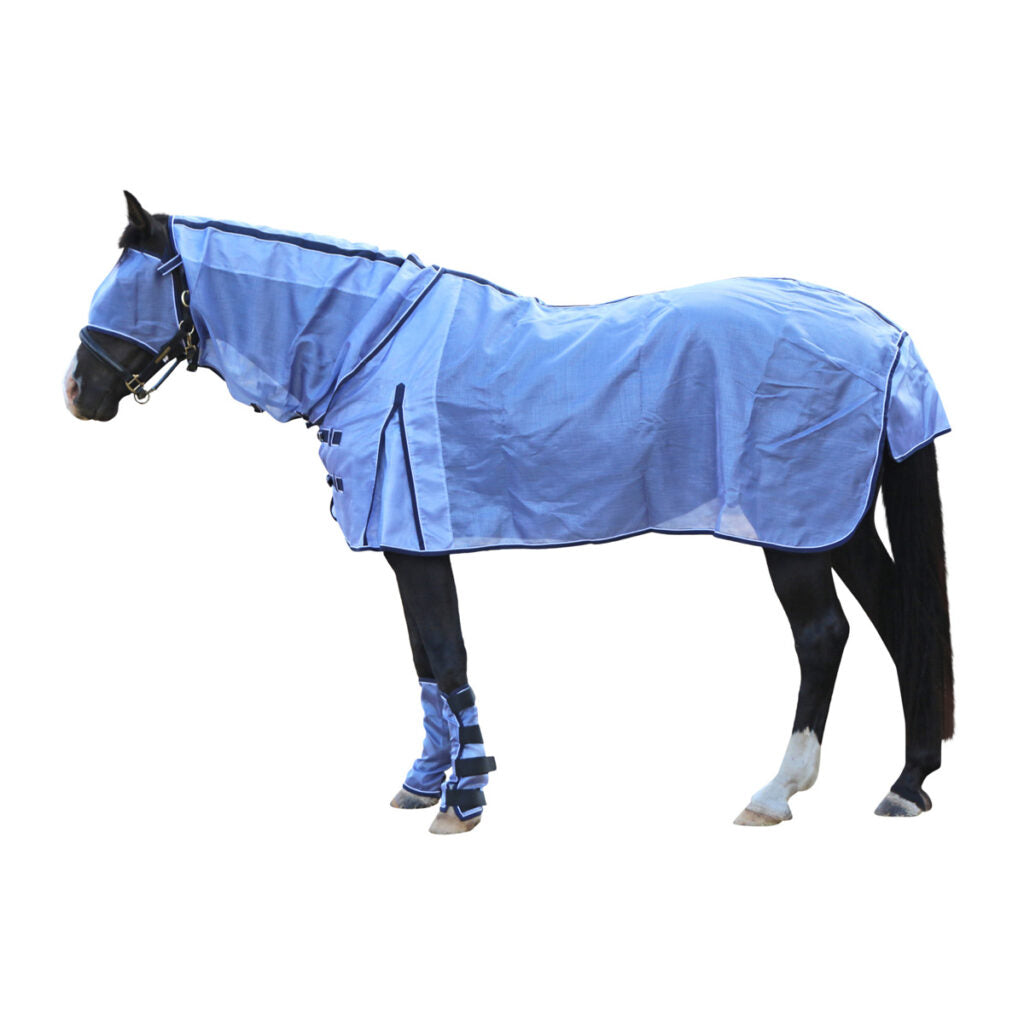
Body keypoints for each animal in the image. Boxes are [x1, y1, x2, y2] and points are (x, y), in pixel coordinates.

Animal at [64, 192, 953, 833]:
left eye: (133, 286)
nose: (76, 393)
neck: (374, 345)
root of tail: (886, 335)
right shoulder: (407, 546)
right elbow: (424, 661)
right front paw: (423, 783)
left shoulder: (418, 543)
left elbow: (447, 654)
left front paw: (464, 801)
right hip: (835, 519)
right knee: (897, 618)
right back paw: (907, 782)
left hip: (795, 527)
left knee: (824, 636)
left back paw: (777, 791)